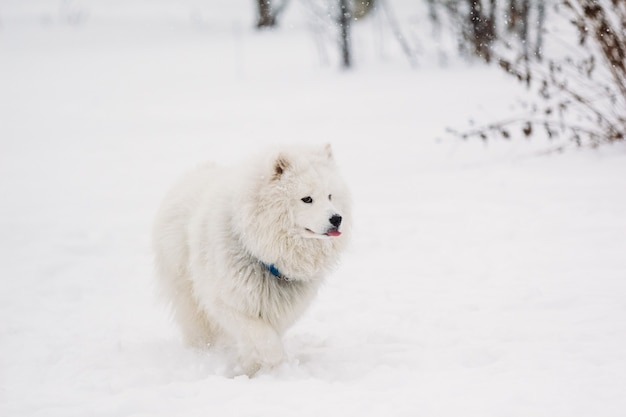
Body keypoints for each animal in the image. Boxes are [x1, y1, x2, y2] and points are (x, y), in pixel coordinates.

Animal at [149, 143, 348, 374]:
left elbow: (258, 342)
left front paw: (252, 368)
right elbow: (265, 340)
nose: (337, 218)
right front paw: (267, 365)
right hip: (187, 296)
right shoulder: (227, 302)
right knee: (197, 330)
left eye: (330, 196)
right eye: (307, 199)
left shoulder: (277, 309)